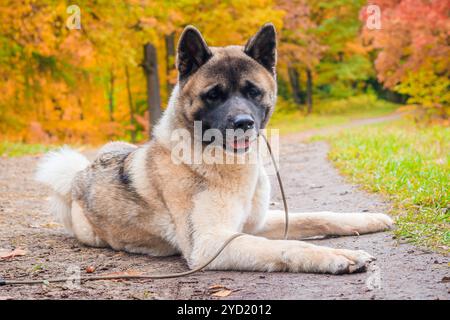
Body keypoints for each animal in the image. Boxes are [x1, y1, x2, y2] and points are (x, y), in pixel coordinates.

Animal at [36, 24, 394, 276]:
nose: (243, 123)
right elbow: (287, 246)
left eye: (253, 91)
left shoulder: (255, 224)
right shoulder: (212, 244)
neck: (222, 164)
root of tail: (79, 174)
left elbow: (318, 216)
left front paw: (367, 219)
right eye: (213, 95)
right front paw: (337, 256)